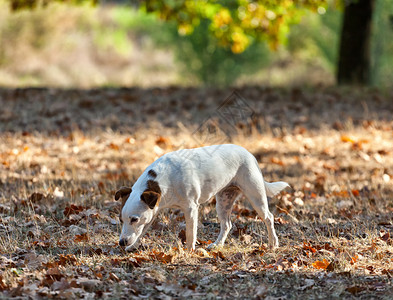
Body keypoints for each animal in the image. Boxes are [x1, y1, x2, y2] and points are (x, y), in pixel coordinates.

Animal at [113, 144, 288, 252]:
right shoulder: (153, 211)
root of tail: (249, 154)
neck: (162, 181)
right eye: (121, 220)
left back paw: (273, 243)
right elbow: (142, 231)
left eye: (134, 219)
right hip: (223, 201)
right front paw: (133, 247)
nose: (122, 242)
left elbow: (191, 233)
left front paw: (189, 251)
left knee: (269, 217)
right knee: (227, 224)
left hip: (255, 196)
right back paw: (217, 245)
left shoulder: (191, 208)